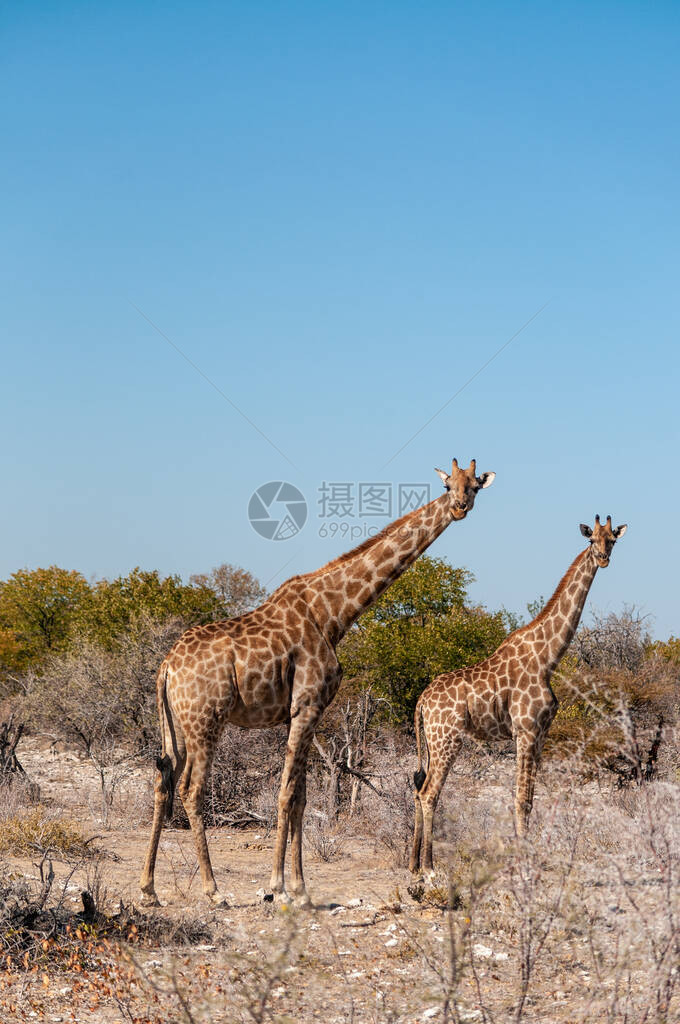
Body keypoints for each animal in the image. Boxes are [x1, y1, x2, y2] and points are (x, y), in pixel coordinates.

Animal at [140, 456, 497, 905]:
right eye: (449, 484)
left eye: (475, 486)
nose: (460, 507)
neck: (334, 614)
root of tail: (167, 666)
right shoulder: (306, 705)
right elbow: (287, 793)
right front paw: (276, 886)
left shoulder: (307, 713)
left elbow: (303, 796)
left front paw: (301, 889)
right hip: (206, 720)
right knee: (190, 789)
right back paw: (213, 890)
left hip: (175, 724)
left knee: (162, 781)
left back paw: (148, 888)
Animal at [409, 512, 626, 872]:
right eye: (591, 539)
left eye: (612, 540)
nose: (603, 558)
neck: (548, 657)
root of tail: (422, 701)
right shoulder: (525, 731)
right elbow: (521, 799)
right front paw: (523, 859)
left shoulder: (541, 733)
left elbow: (530, 798)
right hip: (446, 739)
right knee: (429, 792)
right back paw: (429, 868)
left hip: (432, 741)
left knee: (418, 788)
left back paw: (412, 863)